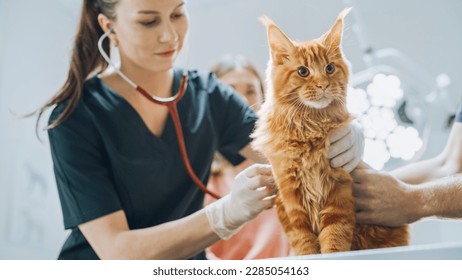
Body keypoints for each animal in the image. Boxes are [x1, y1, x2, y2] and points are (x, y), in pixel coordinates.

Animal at [253, 7, 408, 255]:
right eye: (303, 71)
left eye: (329, 68)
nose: (324, 85)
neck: (309, 128)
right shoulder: (290, 196)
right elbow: (304, 240)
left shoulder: (338, 190)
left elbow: (334, 237)